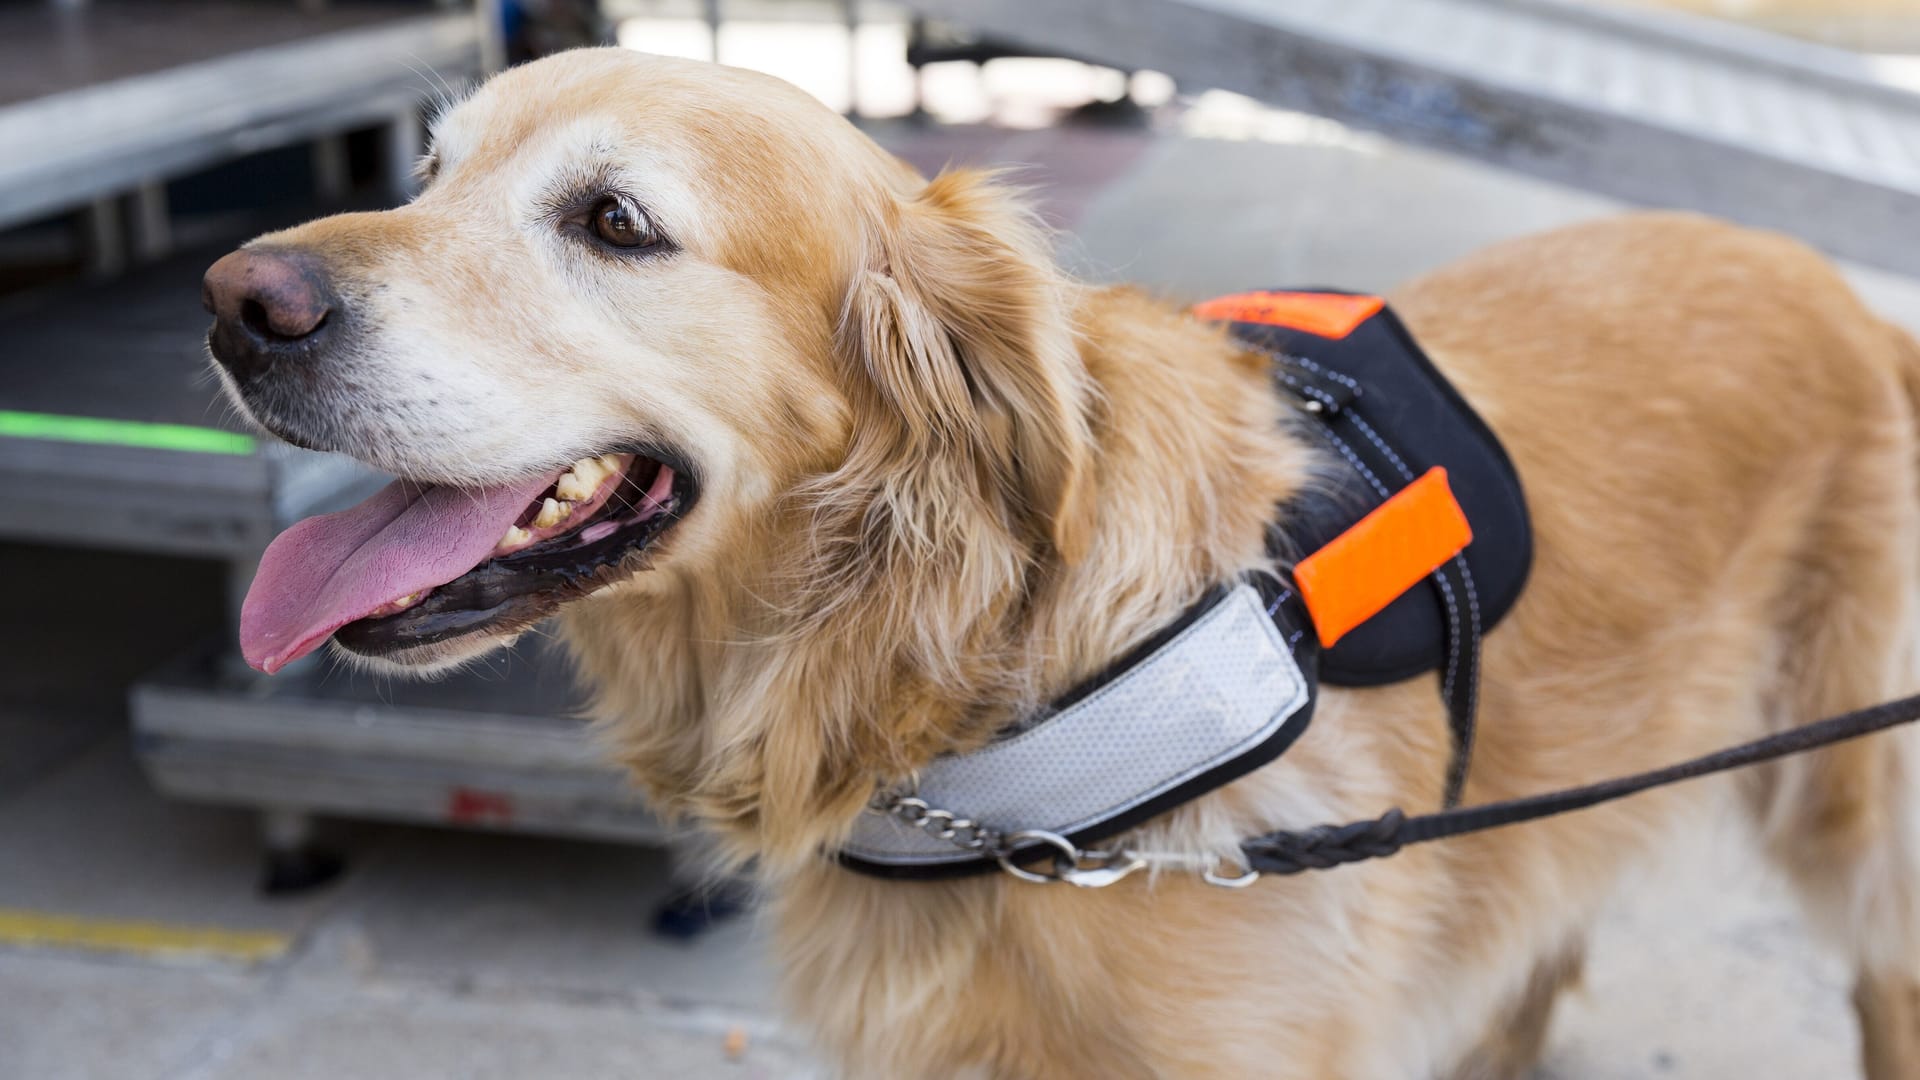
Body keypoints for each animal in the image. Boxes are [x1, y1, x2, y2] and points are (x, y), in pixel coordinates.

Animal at [198, 46, 1920, 1068]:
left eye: (615, 222)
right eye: (428, 173)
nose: (236, 303)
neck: (975, 693)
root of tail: (1839, 293)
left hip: (1857, 828)